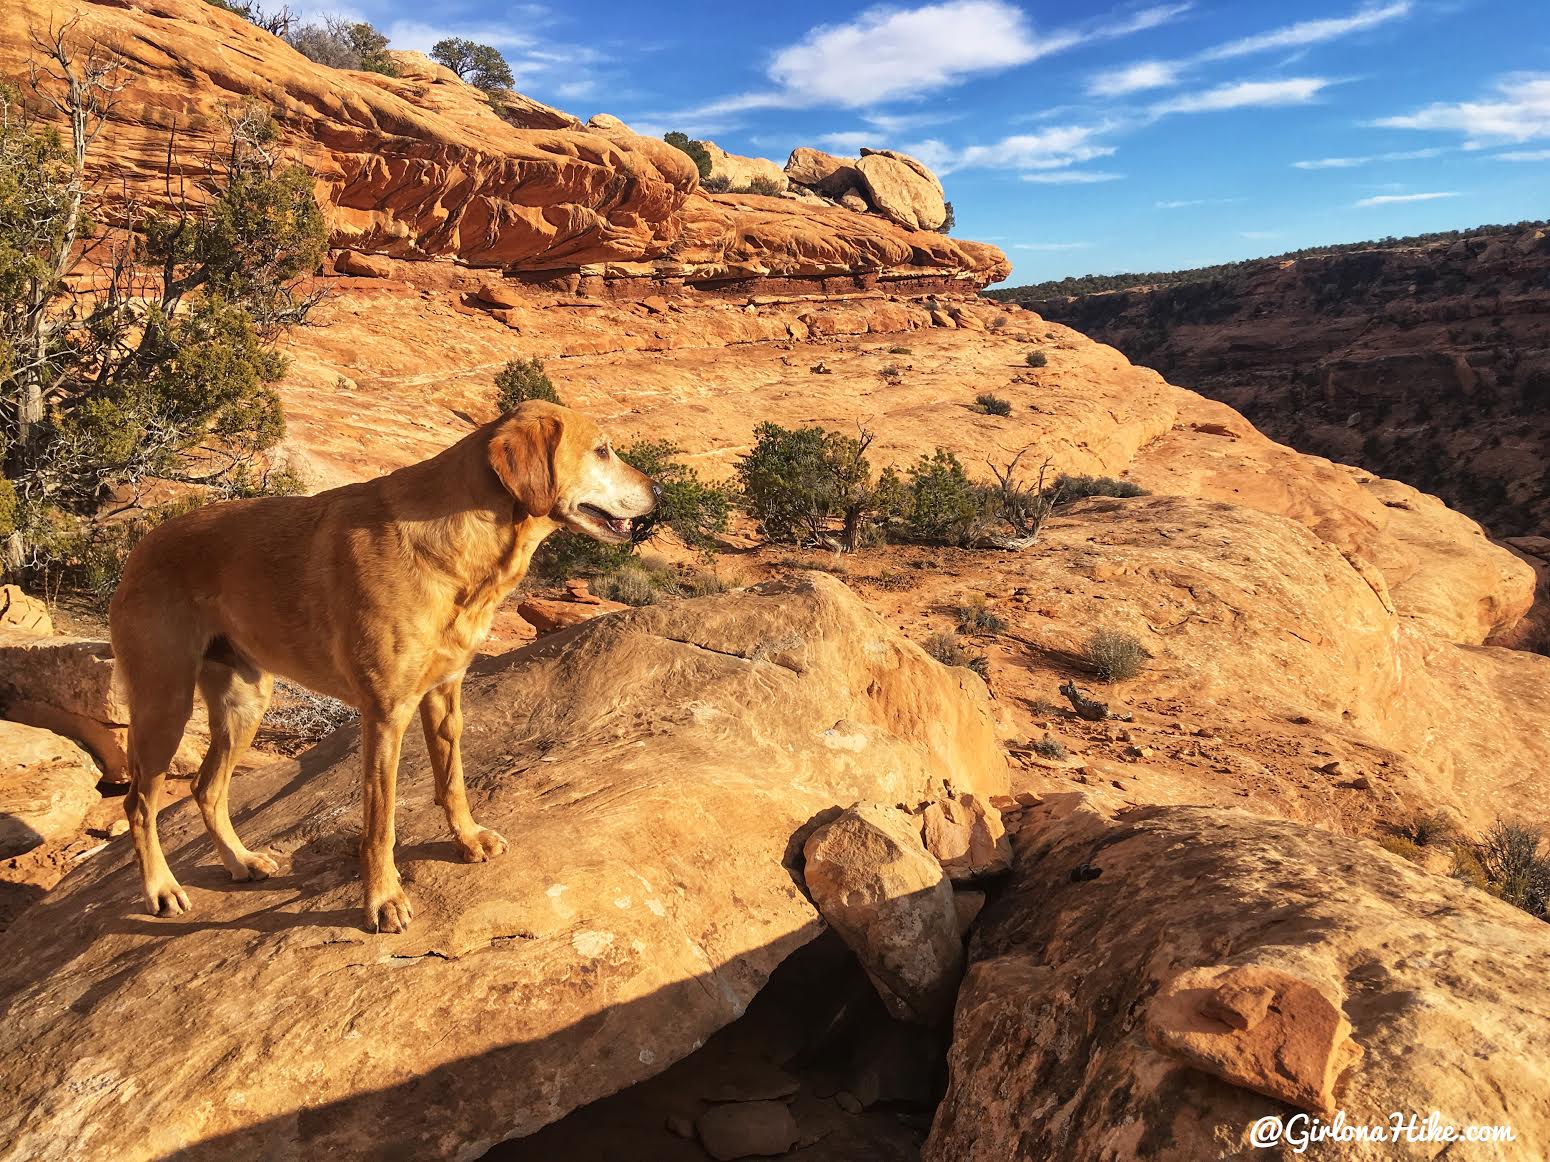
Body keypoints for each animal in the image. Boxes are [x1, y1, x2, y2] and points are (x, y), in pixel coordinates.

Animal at [107, 405, 654, 935]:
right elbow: (380, 821)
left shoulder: (444, 695)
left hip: (246, 701)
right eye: (602, 450)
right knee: (139, 802)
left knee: (207, 788)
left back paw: (240, 861)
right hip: (164, 703)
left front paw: (467, 839)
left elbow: (452, 781)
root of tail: (143, 543)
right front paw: (383, 899)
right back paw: (161, 889)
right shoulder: (385, 714)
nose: (660, 492)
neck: (461, 538)